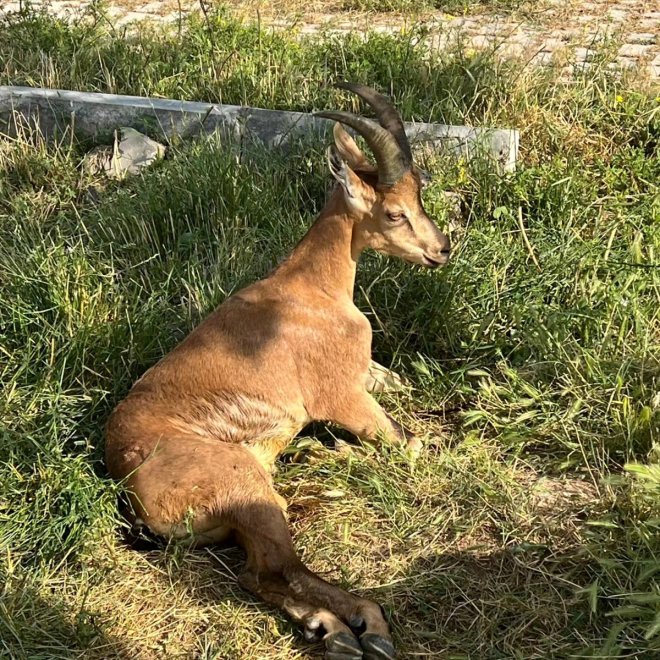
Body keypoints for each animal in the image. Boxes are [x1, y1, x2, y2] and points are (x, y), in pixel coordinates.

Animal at [107, 84, 448, 660]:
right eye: (395, 213)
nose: (440, 250)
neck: (311, 289)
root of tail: (126, 483)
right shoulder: (342, 397)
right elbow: (412, 444)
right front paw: (336, 452)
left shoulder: (368, 374)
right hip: (247, 491)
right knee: (272, 568)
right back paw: (361, 627)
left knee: (259, 574)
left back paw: (329, 627)